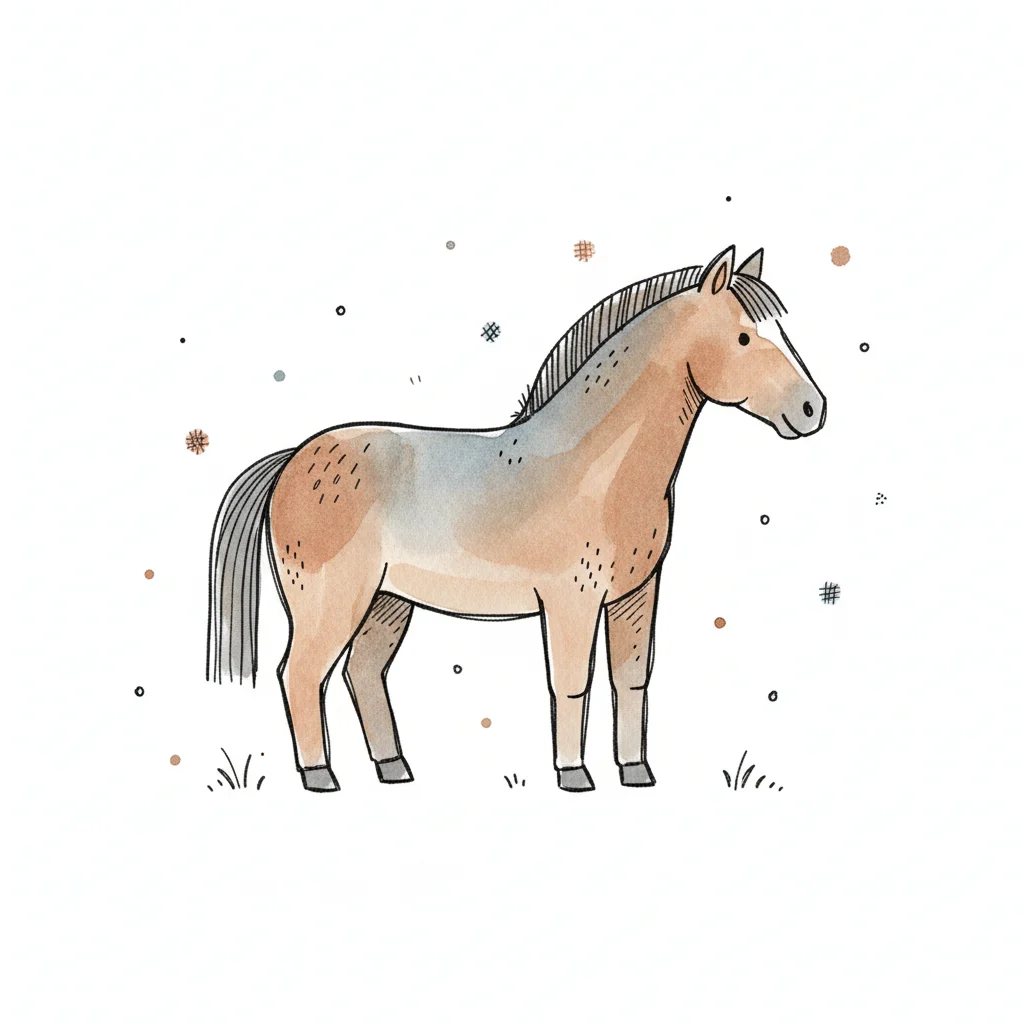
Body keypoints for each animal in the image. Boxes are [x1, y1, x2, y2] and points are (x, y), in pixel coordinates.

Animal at [207, 245, 826, 793]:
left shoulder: (636, 592)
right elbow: (572, 683)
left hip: (386, 601)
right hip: (332, 602)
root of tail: (293, 457)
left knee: (363, 673)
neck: (595, 465)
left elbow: (631, 680)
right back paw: (320, 776)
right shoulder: (572, 598)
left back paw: (394, 768)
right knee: (301, 675)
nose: (812, 409)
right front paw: (574, 775)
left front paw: (636, 772)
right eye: (743, 336)